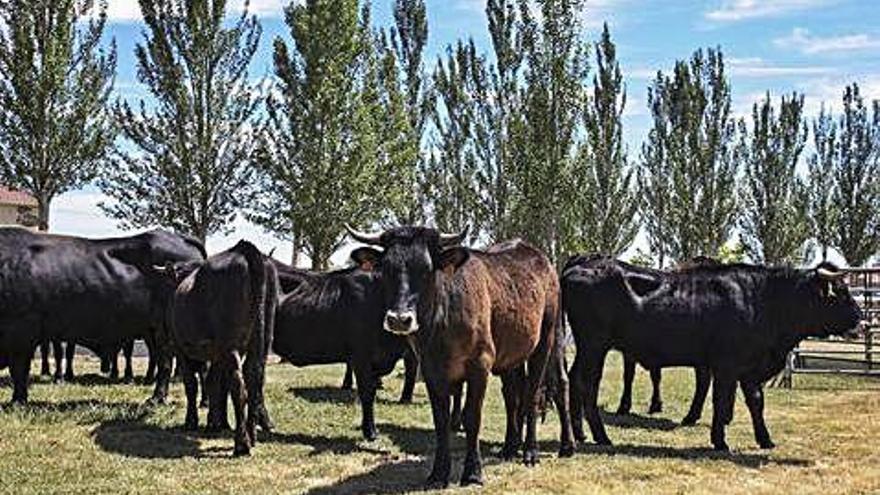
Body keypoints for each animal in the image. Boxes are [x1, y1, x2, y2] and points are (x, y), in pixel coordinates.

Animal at [0, 229, 205, 404]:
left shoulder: (21, 331)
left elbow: (19, 369)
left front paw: (18, 400)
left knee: (165, 362)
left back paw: (158, 397)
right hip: (157, 330)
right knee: (164, 361)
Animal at [163, 240, 276, 458]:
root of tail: (242, 250)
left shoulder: (180, 349)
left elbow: (192, 384)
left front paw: (192, 421)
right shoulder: (216, 354)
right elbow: (213, 383)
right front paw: (214, 423)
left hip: (229, 344)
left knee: (239, 388)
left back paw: (242, 444)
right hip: (261, 338)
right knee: (254, 379)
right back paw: (251, 436)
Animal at [348, 228, 576, 488]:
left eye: (427, 269)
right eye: (385, 269)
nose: (399, 319)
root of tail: (541, 258)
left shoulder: (480, 364)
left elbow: (472, 416)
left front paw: (473, 472)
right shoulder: (431, 369)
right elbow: (441, 419)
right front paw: (438, 473)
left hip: (550, 338)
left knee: (540, 391)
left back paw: (542, 450)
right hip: (512, 354)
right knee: (512, 395)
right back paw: (510, 446)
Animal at [564, 262, 860, 452]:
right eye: (839, 292)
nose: (860, 316)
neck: (762, 299)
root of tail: (576, 268)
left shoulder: (749, 369)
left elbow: (756, 402)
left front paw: (765, 440)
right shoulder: (727, 365)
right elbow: (720, 401)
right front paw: (720, 441)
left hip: (589, 347)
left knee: (575, 378)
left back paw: (580, 433)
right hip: (594, 345)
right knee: (586, 382)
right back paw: (601, 437)